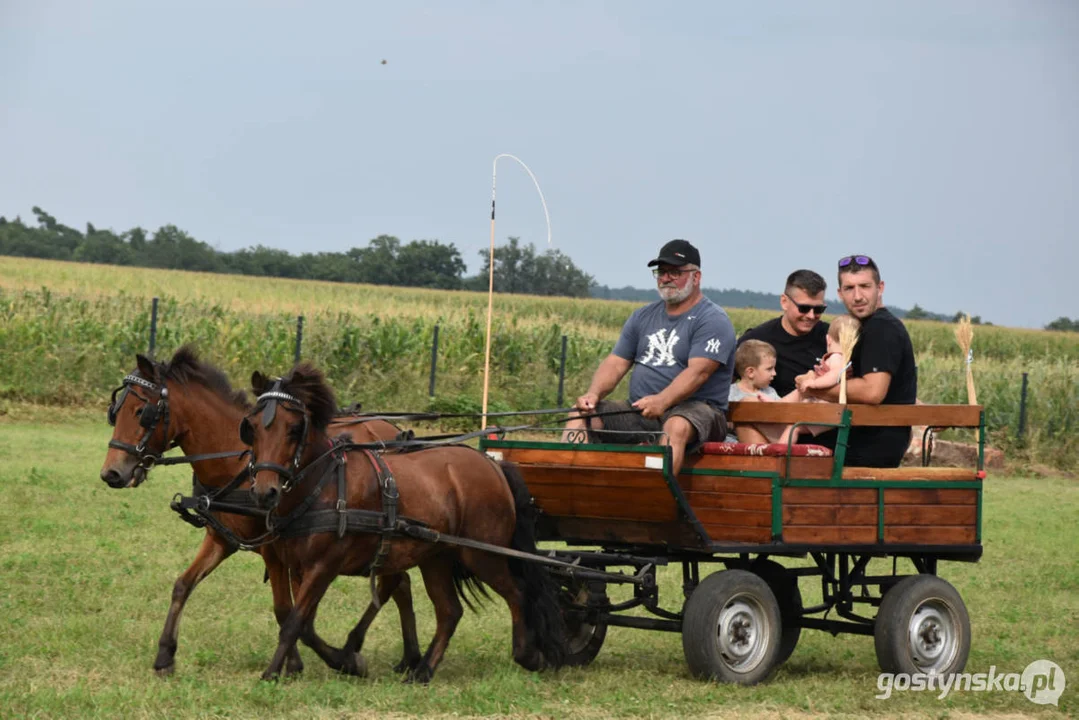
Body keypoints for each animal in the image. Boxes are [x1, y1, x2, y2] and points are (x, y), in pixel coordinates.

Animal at [99, 345, 420, 677]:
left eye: (142, 413)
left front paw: (316, 661)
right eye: (115, 412)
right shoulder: (221, 539)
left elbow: (286, 611)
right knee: (400, 584)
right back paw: (410, 657)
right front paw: (165, 655)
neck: (238, 464)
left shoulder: (273, 550)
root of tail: (391, 428)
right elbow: (183, 585)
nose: (111, 473)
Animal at [243, 362, 565, 686]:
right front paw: (343, 660)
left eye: (295, 428)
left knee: (517, 592)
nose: (265, 492)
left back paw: (527, 655)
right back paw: (422, 670)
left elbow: (294, 622)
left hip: (482, 555)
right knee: (450, 611)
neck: (324, 482)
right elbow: (302, 624)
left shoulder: (324, 566)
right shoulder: (296, 566)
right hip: (437, 558)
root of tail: (493, 465)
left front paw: (277, 671)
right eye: (252, 428)